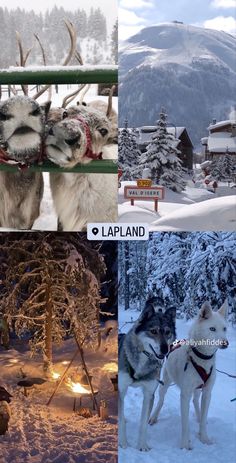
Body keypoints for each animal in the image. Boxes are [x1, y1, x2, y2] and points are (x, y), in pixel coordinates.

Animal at [119, 302, 176, 452]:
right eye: (153, 331)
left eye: (168, 332)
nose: (165, 349)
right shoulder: (121, 390)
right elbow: (121, 422)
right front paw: (123, 443)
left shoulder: (149, 394)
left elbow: (143, 424)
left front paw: (142, 445)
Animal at [149, 300, 229, 450]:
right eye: (212, 329)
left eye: (224, 328)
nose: (226, 343)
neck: (203, 358)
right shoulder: (184, 395)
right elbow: (185, 423)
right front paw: (185, 444)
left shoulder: (207, 392)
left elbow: (203, 419)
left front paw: (204, 438)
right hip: (165, 383)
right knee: (161, 400)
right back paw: (153, 417)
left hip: (198, 389)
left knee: (196, 401)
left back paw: (198, 416)